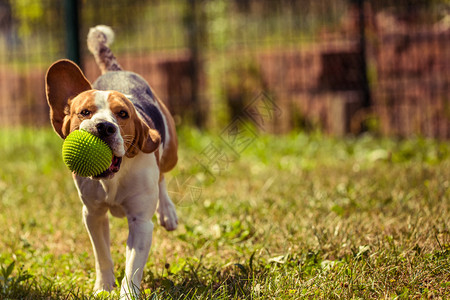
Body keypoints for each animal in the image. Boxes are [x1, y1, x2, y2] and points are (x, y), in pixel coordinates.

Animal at [45, 25, 178, 298]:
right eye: (84, 112)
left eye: (123, 114)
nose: (104, 127)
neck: (114, 177)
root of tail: (116, 70)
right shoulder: (93, 214)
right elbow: (102, 256)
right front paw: (103, 287)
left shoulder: (140, 222)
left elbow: (133, 266)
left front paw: (127, 293)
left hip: (170, 149)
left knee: (162, 175)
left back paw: (168, 212)